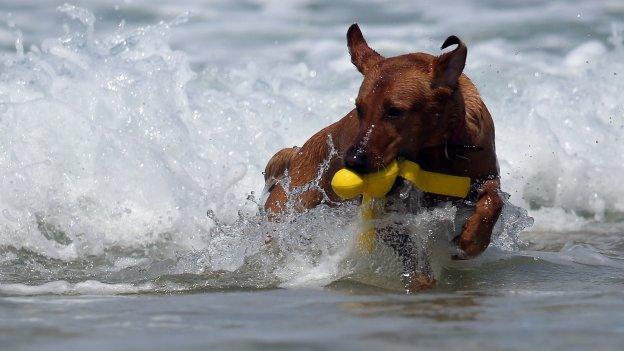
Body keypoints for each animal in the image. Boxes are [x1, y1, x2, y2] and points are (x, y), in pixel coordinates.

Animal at [262, 24, 502, 292]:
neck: (438, 150)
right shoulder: (387, 210)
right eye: (359, 108)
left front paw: (471, 240)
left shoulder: (485, 174)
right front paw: (420, 280)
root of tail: (297, 155)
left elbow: (493, 201)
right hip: (286, 210)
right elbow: (409, 248)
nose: (353, 160)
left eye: (394, 111)